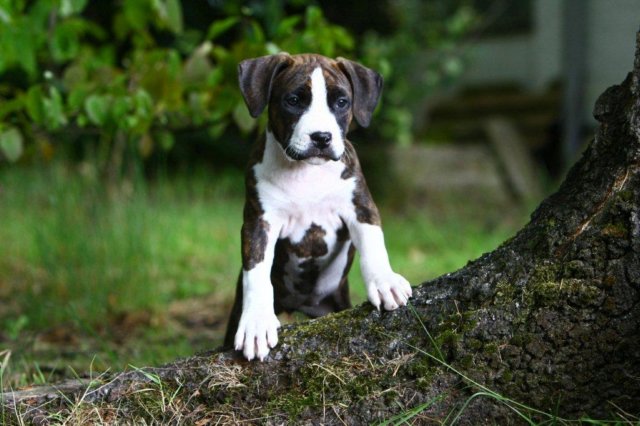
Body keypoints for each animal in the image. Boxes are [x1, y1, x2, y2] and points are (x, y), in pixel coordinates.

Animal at [224, 53, 412, 361]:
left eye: (341, 102)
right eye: (293, 100)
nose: (321, 137)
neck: (305, 172)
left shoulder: (360, 207)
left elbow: (374, 245)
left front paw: (385, 282)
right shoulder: (258, 222)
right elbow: (257, 270)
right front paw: (256, 322)